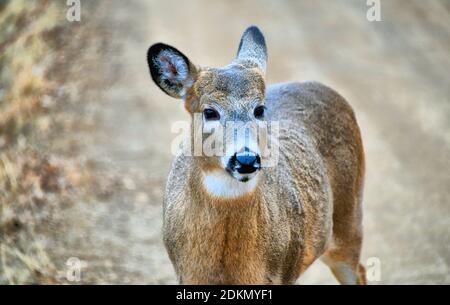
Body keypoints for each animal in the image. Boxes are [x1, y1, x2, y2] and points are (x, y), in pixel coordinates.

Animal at [147, 25, 366, 284]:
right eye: (210, 111)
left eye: (259, 109)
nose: (246, 158)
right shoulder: (187, 275)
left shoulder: (283, 274)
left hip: (349, 218)